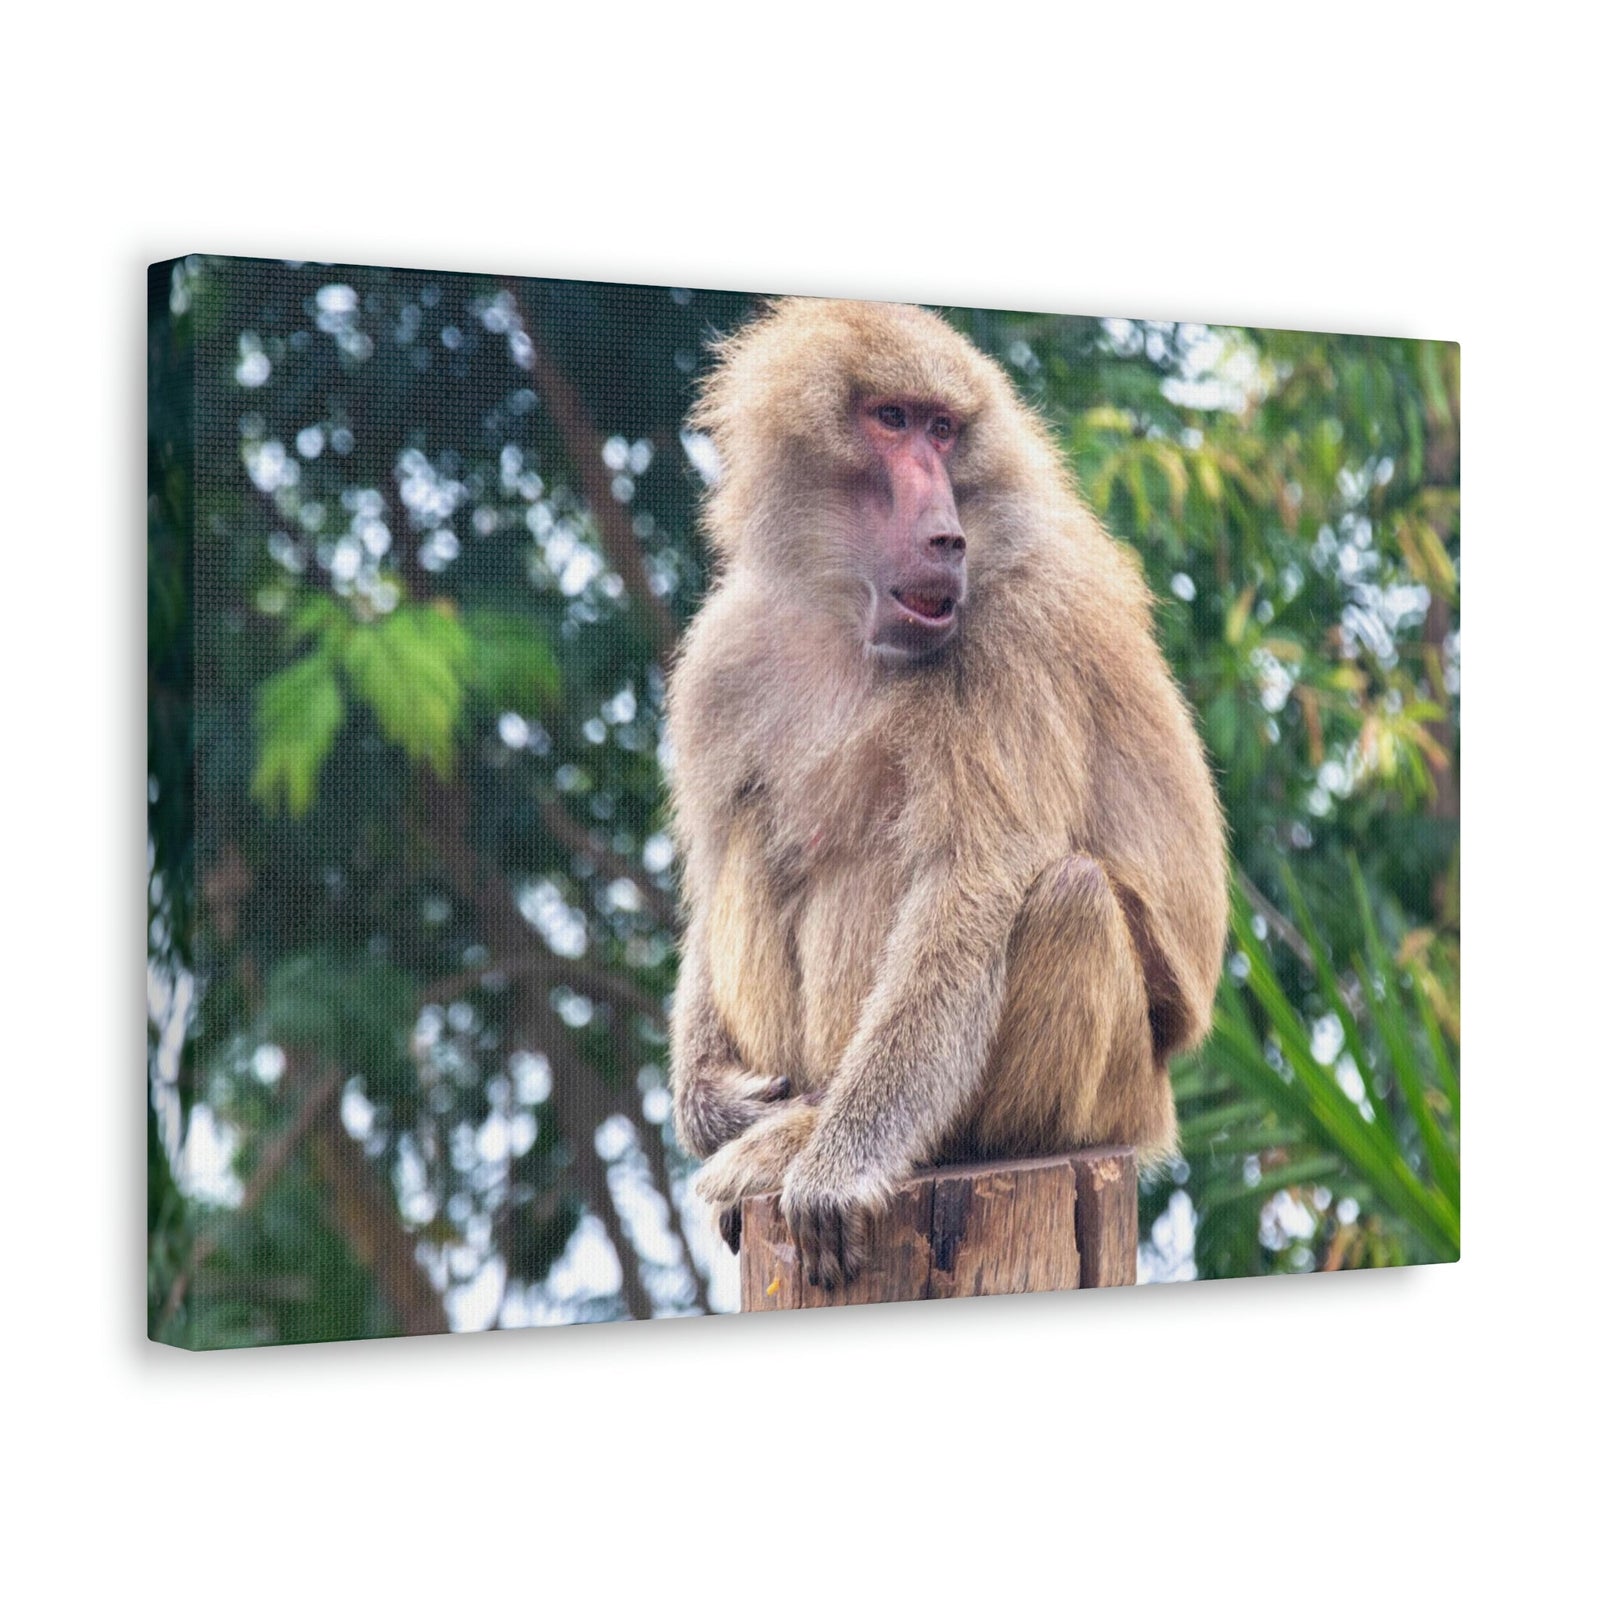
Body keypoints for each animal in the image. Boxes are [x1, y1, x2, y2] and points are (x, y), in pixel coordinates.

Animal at [665, 297, 1228, 1290]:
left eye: (943, 430)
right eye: (890, 419)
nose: (945, 537)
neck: (845, 615)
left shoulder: (1015, 637)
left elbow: (967, 888)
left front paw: (838, 1170)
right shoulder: (725, 652)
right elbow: (711, 869)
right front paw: (713, 1102)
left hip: (1114, 1095)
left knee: (1064, 895)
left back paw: (827, 1140)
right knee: (755, 841)